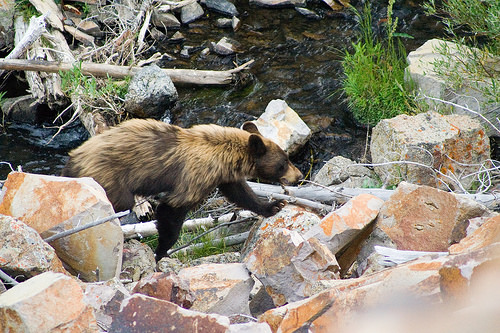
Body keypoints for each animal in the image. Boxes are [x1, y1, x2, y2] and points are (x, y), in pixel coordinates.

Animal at [63, 118, 304, 258]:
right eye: (283, 162)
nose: (299, 176)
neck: (222, 155)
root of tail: (73, 159)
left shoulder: (225, 176)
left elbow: (241, 194)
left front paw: (273, 205)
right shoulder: (195, 176)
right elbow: (173, 210)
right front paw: (161, 250)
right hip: (111, 180)